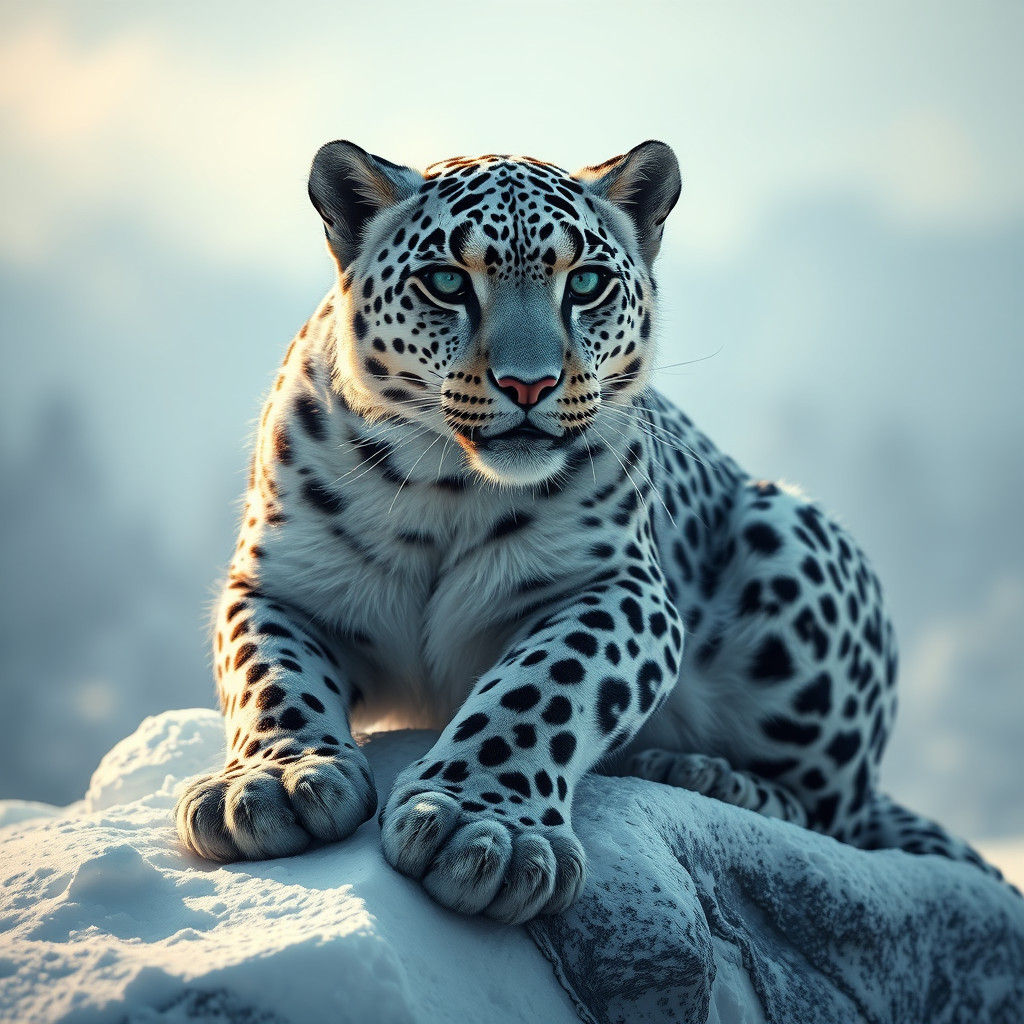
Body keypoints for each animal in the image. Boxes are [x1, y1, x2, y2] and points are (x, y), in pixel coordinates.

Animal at [175, 139, 998, 924]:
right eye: (447, 282)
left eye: (586, 284)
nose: (529, 384)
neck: (444, 491)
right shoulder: (277, 585)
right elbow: (271, 676)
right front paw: (274, 782)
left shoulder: (616, 587)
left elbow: (541, 691)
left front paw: (482, 829)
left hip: (787, 535)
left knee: (835, 814)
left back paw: (702, 774)